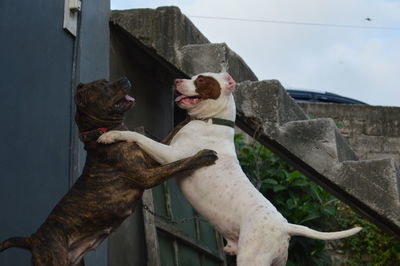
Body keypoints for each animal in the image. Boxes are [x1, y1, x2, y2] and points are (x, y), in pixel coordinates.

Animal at [0, 77, 217, 266]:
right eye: (103, 86)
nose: (125, 78)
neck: (100, 132)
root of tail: (32, 239)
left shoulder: (151, 157)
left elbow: (170, 135)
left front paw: (189, 117)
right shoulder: (146, 176)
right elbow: (179, 163)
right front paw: (202, 156)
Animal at [98, 72, 360, 266]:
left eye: (201, 80)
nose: (176, 80)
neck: (210, 121)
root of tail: (285, 226)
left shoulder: (171, 157)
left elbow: (138, 137)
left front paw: (111, 135)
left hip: (252, 258)